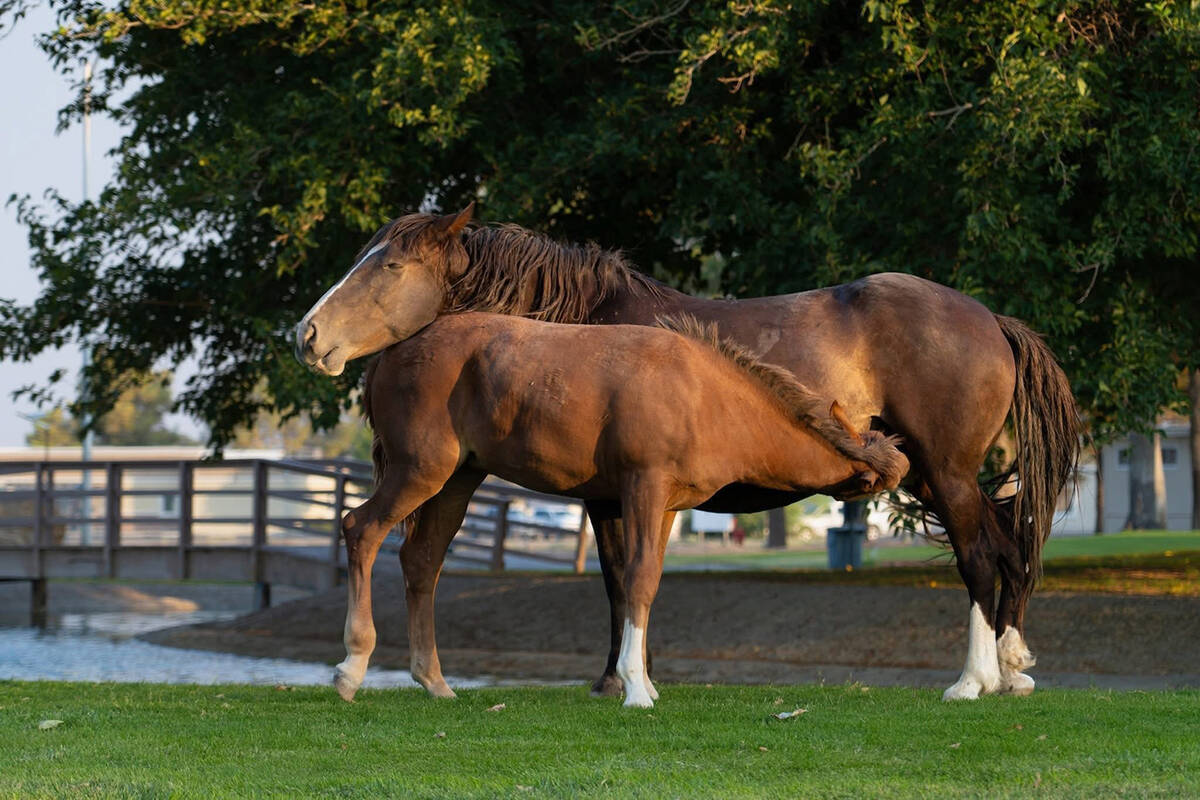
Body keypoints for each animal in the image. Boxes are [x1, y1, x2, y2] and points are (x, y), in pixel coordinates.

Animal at [336, 311, 909, 707]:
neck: (704, 393)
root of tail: (393, 352)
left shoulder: (667, 507)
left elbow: (649, 579)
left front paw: (646, 682)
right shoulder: (642, 488)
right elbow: (635, 578)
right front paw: (635, 687)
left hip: (457, 480)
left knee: (422, 562)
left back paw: (434, 681)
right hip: (420, 470)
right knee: (360, 529)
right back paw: (352, 668)